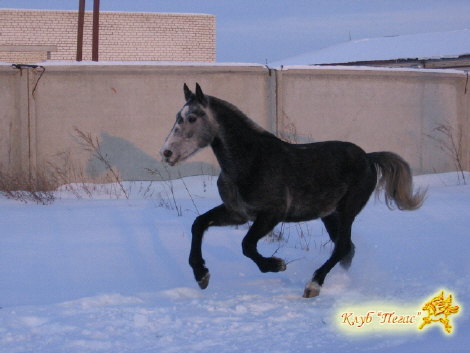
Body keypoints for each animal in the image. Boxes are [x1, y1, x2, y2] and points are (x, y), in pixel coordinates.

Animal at [162, 83, 426, 296]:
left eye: (192, 118)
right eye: (177, 117)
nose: (166, 153)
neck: (251, 161)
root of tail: (369, 158)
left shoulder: (271, 214)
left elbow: (247, 245)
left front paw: (276, 264)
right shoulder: (237, 213)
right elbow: (199, 224)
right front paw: (201, 275)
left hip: (347, 211)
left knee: (342, 247)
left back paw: (313, 285)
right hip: (329, 215)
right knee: (347, 250)